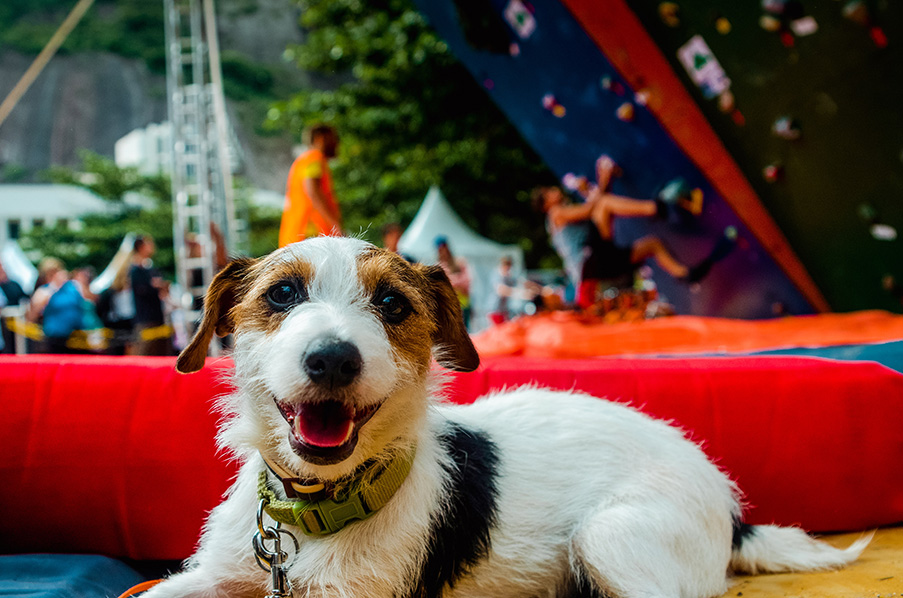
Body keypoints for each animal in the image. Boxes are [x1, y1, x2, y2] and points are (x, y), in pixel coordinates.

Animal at [147, 238, 868, 598]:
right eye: (282, 294)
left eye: (392, 304)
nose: (331, 358)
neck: (318, 509)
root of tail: (728, 504)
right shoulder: (215, 577)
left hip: (611, 534)